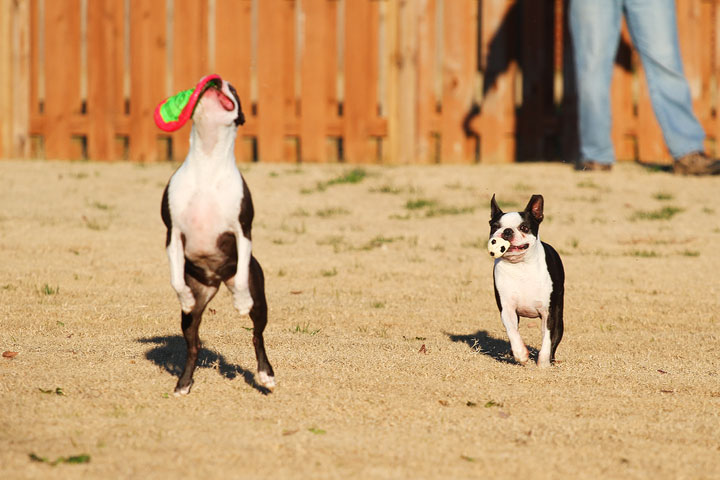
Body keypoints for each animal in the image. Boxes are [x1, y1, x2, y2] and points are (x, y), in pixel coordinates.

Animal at [161, 78, 276, 394]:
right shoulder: (173, 232)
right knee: (194, 344)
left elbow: (241, 279)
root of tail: (215, 280)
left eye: (233, 90)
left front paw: (240, 301)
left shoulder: (242, 231)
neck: (208, 162)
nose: (216, 80)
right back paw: (183, 384)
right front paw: (183, 297)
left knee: (257, 335)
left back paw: (265, 375)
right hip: (193, 311)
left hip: (260, 300)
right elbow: (175, 279)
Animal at [486, 193, 564, 366]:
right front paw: (520, 354)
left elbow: (547, 339)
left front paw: (543, 363)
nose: (507, 231)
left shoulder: (549, 313)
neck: (521, 266)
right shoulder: (507, 309)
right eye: (495, 227)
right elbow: (512, 331)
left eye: (524, 228)